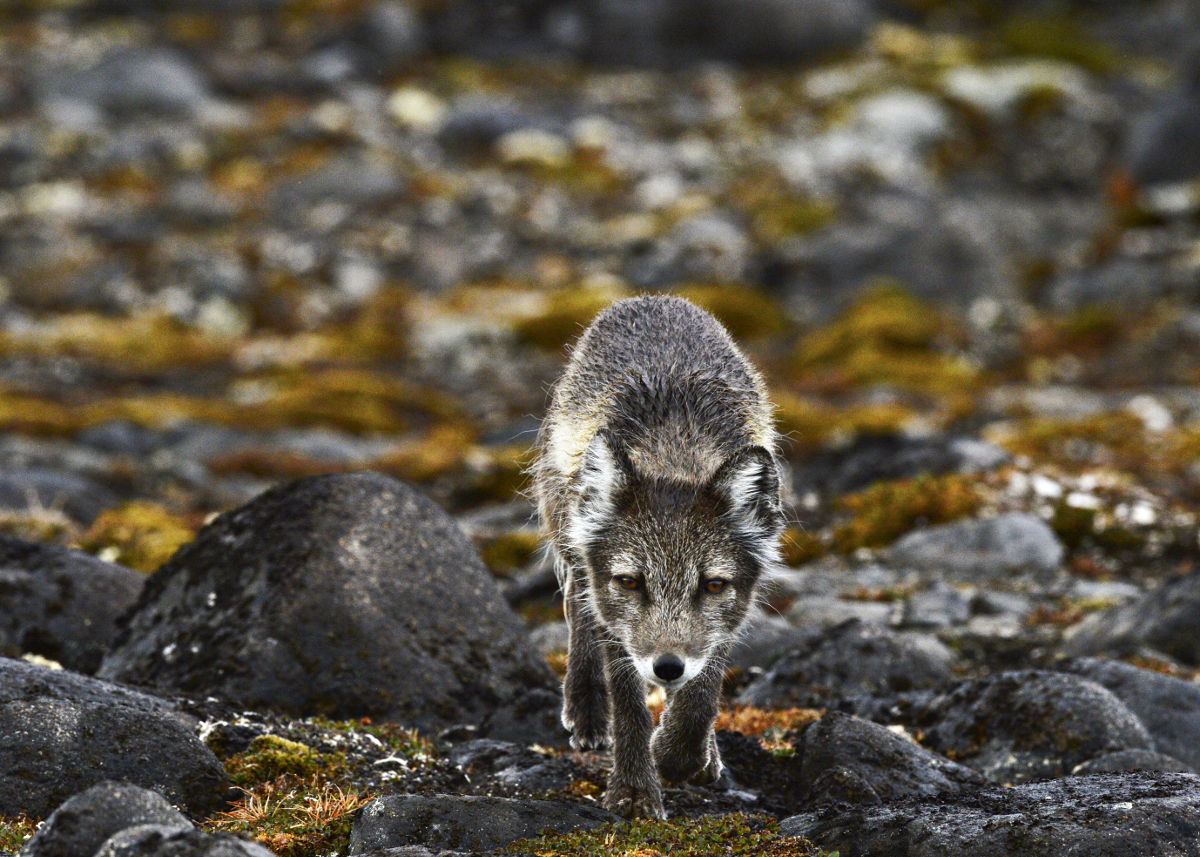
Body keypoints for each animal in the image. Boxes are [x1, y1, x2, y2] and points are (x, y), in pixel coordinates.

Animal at [532, 294, 777, 816]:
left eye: (713, 584)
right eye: (630, 582)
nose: (667, 666)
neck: (675, 451)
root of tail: (651, 299)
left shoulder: (724, 619)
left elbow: (702, 695)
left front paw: (679, 755)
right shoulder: (617, 620)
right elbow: (629, 706)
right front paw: (633, 790)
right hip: (569, 535)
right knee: (578, 611)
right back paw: (587, 709)